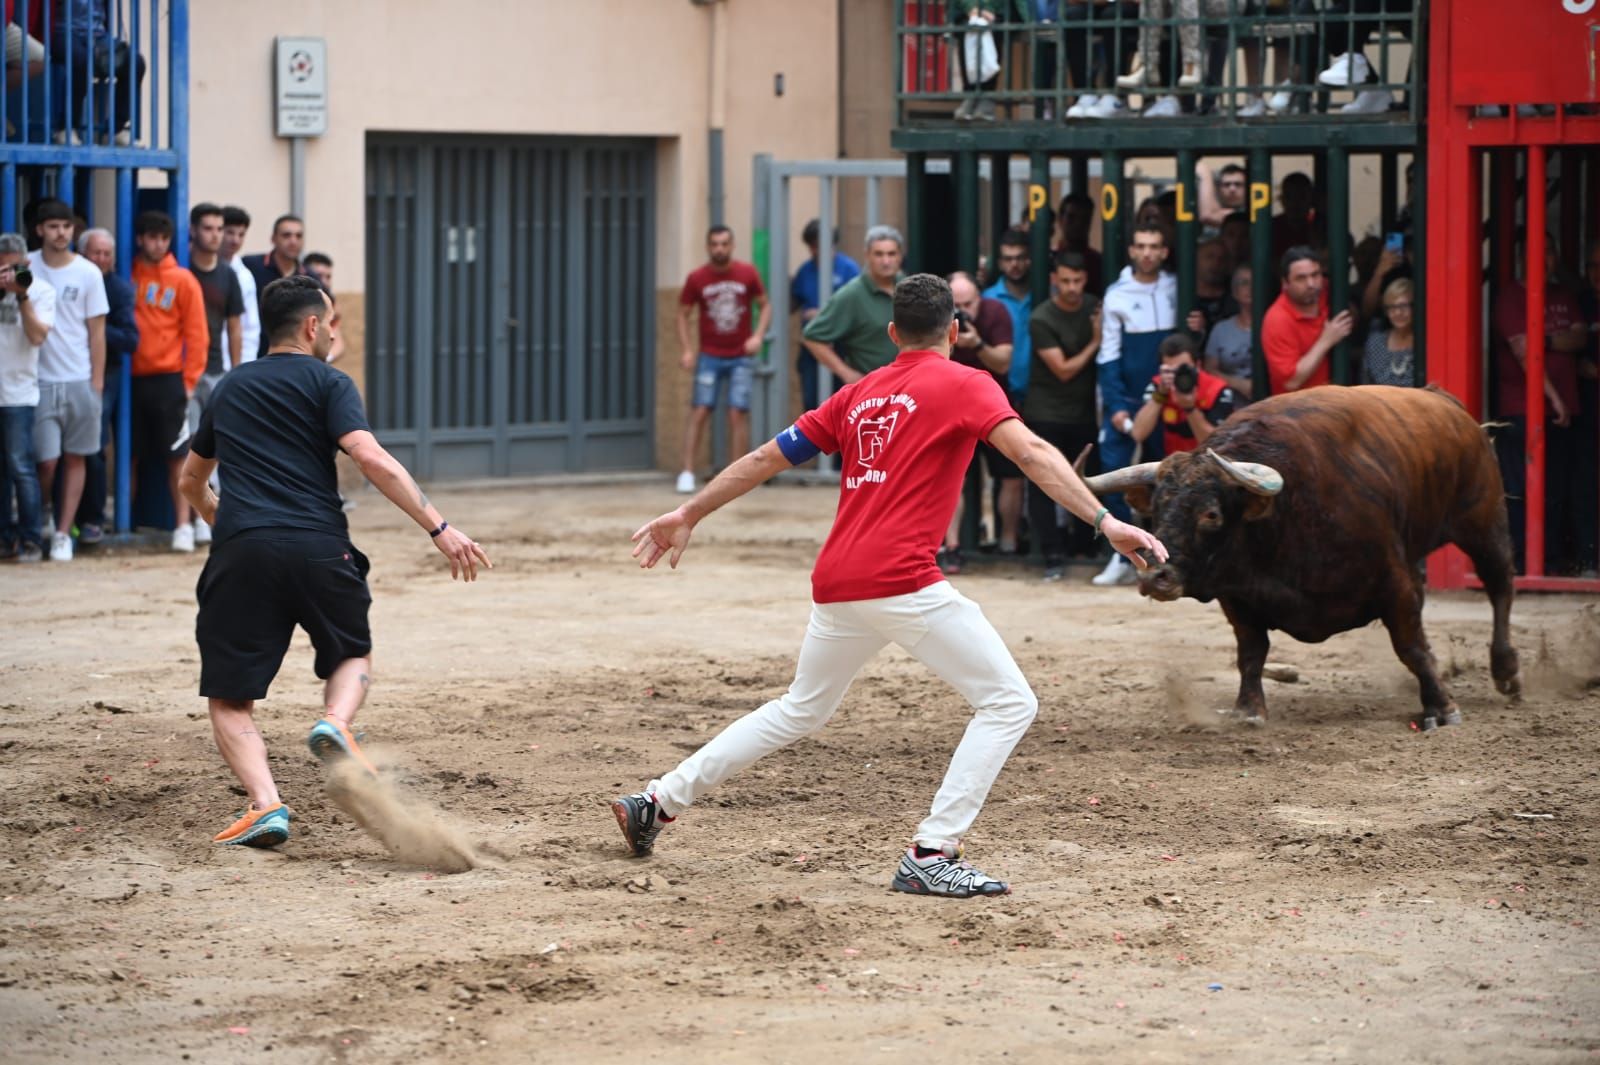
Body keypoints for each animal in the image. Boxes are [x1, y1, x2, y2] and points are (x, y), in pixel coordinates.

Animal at [1088, 383, 1523, 729]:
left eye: (1211, 514)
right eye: (1157, 508)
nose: (1154, 576)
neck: (1282, 516)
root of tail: (1448, 405)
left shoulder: (1395, 584)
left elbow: (1411, 647)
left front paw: (1441, 707)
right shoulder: (1238, 597)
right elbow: (1251, 652)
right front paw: (1249, 710)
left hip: (1482, 520)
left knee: (1500, 584)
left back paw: (1506, 670)